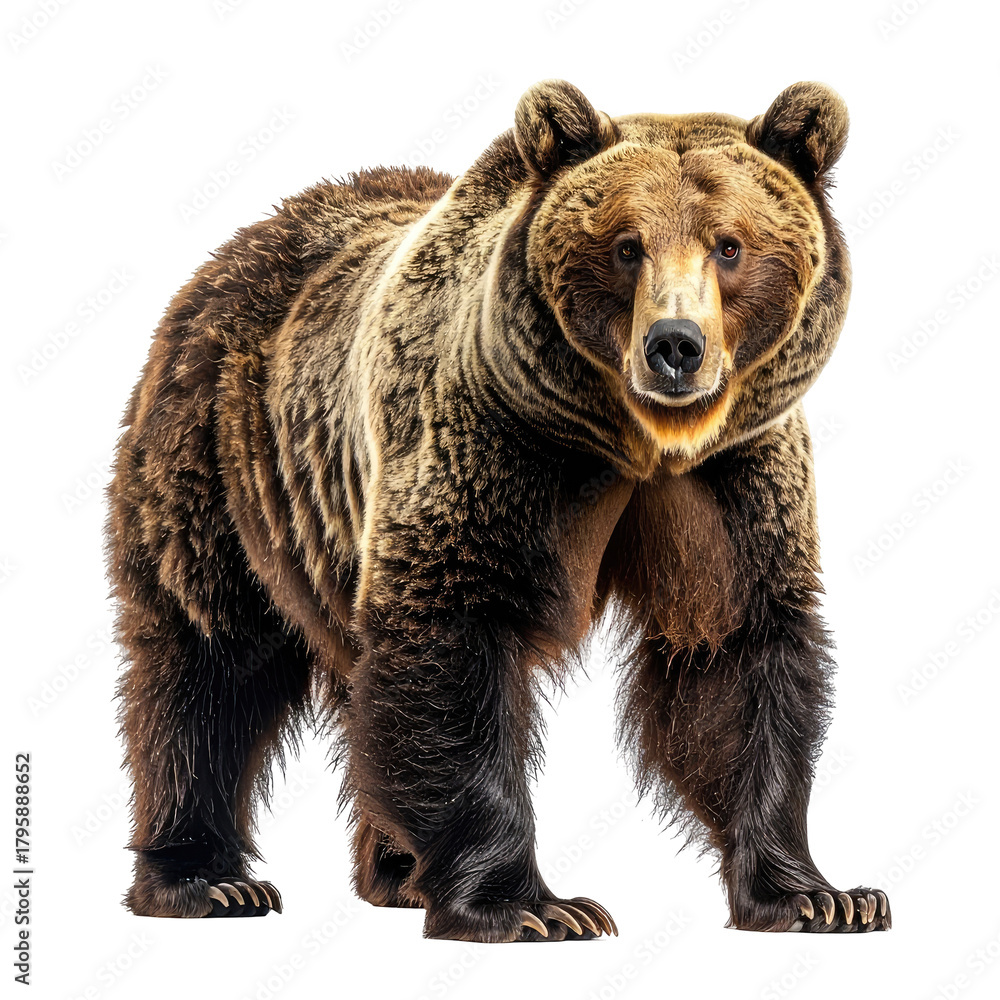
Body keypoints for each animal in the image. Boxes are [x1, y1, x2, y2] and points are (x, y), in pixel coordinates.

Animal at [106, 79, 891, 940]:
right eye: (625, 245)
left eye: (729, 245)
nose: (675, 346)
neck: (635, 442)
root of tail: (233, 250)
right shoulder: (485, 441)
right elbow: (452, 639)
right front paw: (531, 906)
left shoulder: (730, 480)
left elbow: (733, 651)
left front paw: (819, 895)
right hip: (223, 458)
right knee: (205, 659)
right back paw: (205, 880)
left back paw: (398, 872)